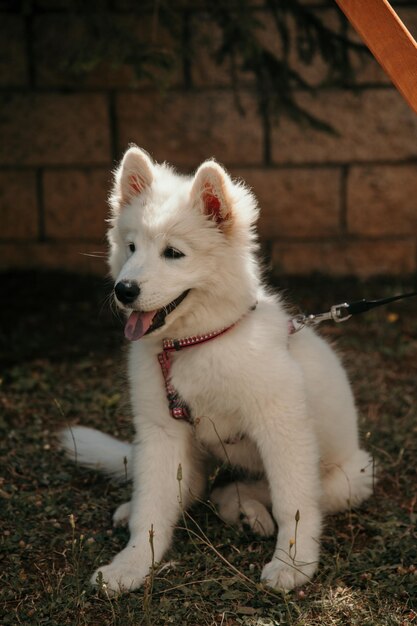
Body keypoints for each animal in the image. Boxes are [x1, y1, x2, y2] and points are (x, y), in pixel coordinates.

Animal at [59, 145, 374, 588]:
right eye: (132, 247)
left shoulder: (282, 427)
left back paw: (247, 512)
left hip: (352, 476)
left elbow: (293, 503)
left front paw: (292, 564)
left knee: (247, 491)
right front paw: (131, 566)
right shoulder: (161, 430)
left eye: (173, 253)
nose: (123, 290)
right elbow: (152, 508)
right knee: (191, 489)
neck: (197, 343)